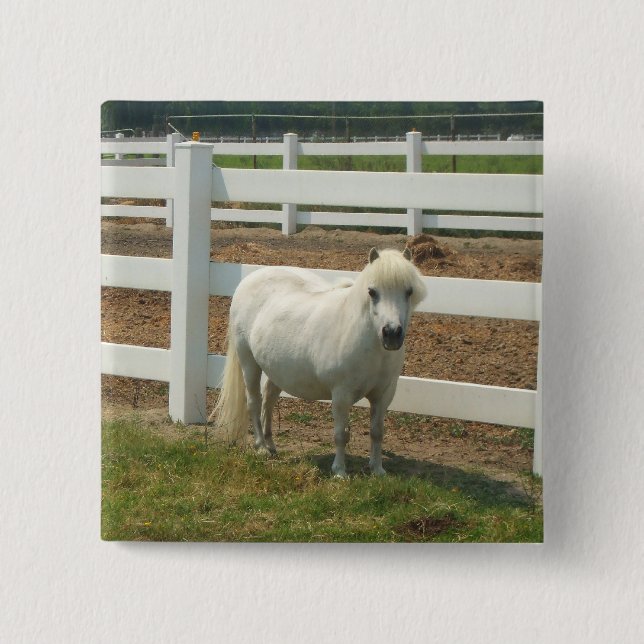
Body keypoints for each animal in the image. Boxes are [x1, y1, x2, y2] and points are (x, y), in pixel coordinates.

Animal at [211, 247, 427, 477]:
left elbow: (377, 432)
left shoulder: (383, 395)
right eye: (372, 292)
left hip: (276, 369)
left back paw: (271, 445)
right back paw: (261, 447)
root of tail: (249, 280)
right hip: (248, 362)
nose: (392, 334)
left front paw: (377, 470)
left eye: (409, 291)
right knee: (254, 401)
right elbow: (341, 434)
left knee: (268, 400)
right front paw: (340, 472)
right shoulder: (341, 394)